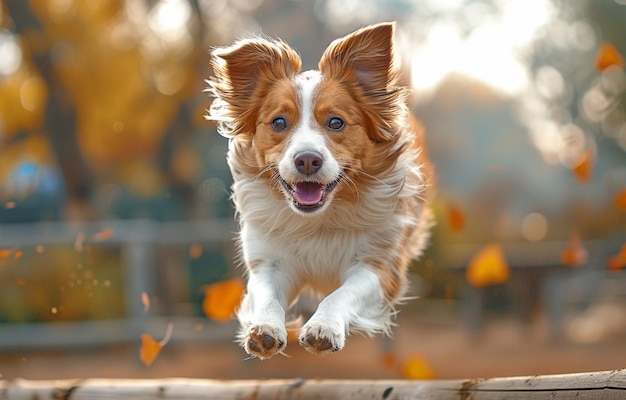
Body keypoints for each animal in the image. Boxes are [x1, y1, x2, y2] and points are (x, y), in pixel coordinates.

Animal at [207, 21, 432, 360]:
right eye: (278, 122)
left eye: (336, 122)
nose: (307, 160)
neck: (320, 219)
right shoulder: (269, 262)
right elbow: (267, 297)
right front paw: (264, 328)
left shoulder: (380, 264)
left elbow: (341, 294)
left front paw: (323, 327)